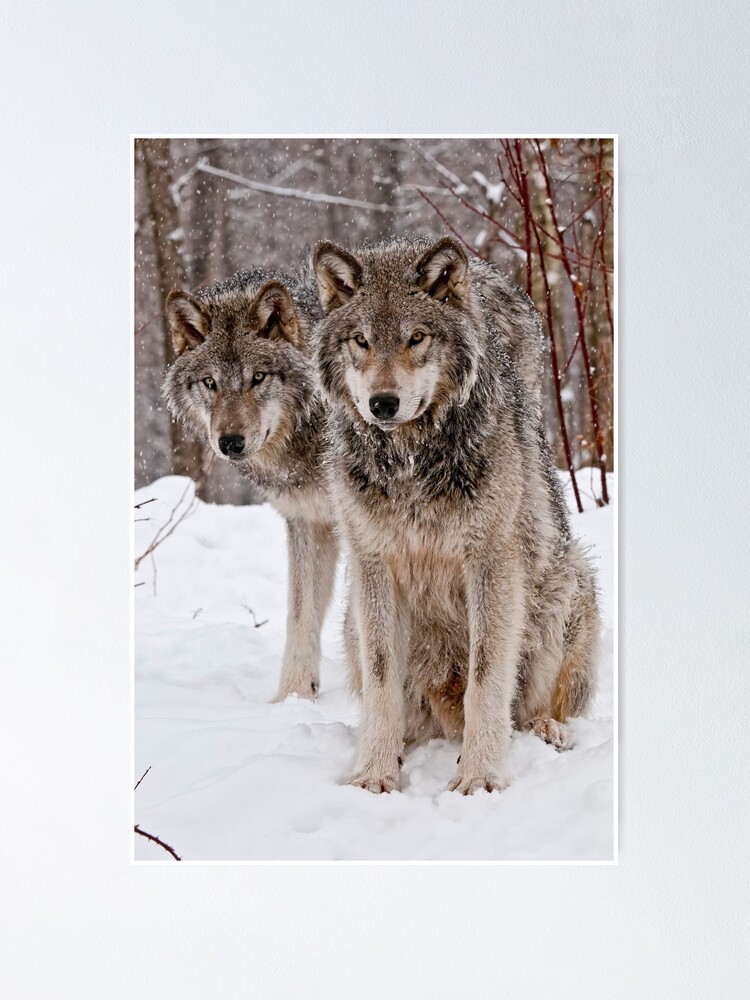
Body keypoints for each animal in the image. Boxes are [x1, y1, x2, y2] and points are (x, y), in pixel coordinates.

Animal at [163, 270, 336, 700]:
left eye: (257, 377)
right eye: (210, 383)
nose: (230, 443)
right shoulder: (308, 521)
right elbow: (300, 615)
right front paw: (293, 698)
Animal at [312, 236, 600, 796]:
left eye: (416, 337)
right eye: (360, 341)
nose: (383, 403)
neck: (411, 463)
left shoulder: (491, 562)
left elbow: (487, 677)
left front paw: (480, 776)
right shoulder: (373, 565)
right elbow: (381, 679)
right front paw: (374, 774)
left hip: (567, 581)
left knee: (534, 707)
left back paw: (546, 729)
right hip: (353, 618)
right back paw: (407, 744)